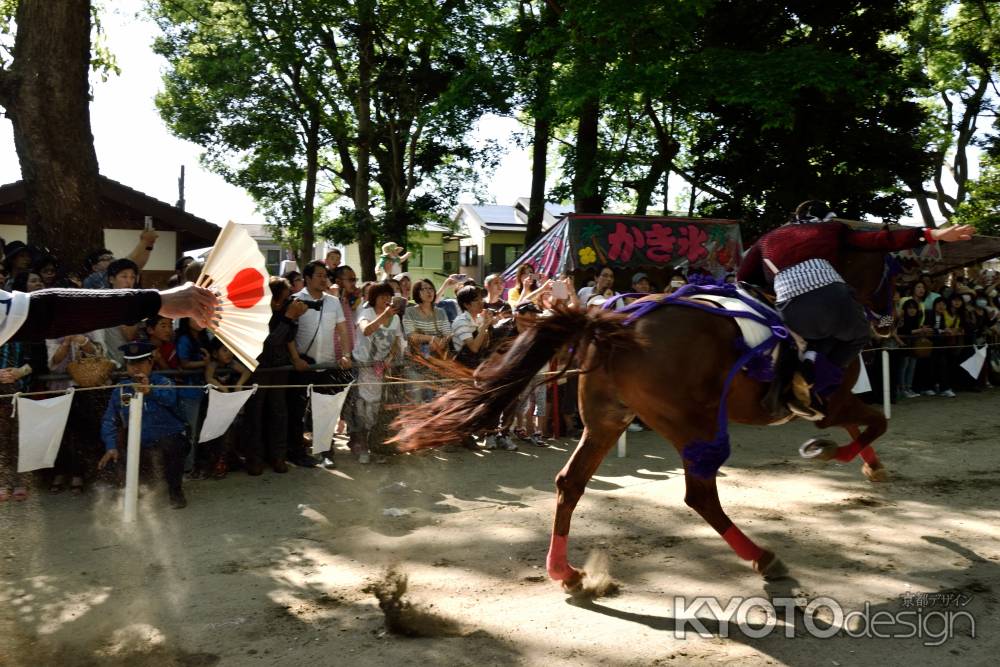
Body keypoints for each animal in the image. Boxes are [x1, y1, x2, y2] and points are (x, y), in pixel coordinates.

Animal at [391, 246, 897, 591]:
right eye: (896, 271)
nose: (887, 320)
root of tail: (611, 324)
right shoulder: (834, 399)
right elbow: (874, 422)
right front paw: (836, 455)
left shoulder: (834, 400)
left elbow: (865, 424)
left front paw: (869, 464)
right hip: (691, 422)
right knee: (700, 496)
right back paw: (764, 559)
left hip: (606, 422)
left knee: (570, 483)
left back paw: (566, 571)